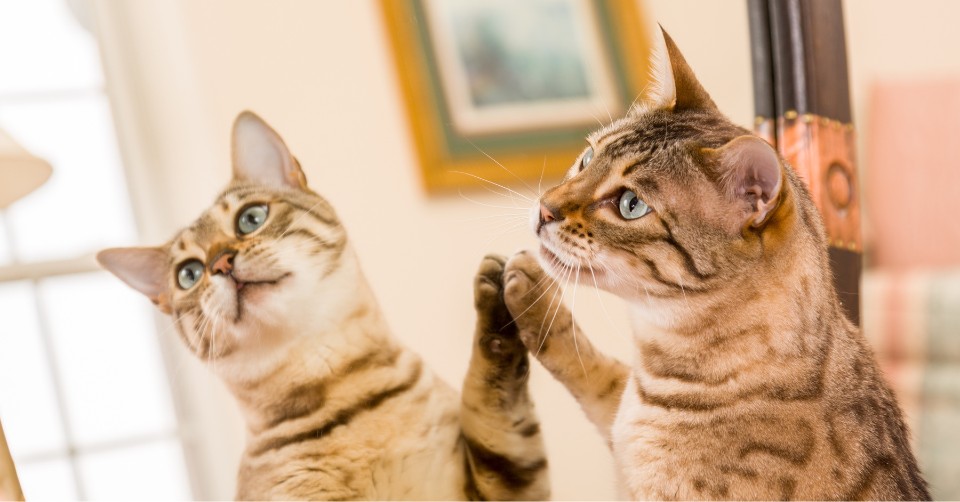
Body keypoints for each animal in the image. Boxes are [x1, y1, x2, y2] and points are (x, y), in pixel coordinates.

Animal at [98, 112, 552, 500]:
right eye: (189, 274)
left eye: (250, 218)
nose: (220, 263)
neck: (338, 383)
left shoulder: (501, 482)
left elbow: (492, 397)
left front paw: (504, 296)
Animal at [498, 29, 928, 500]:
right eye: (589, 158)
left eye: (631, 204)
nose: (544, 208)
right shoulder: (621, 415)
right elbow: (596, 369)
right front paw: (532, 295)